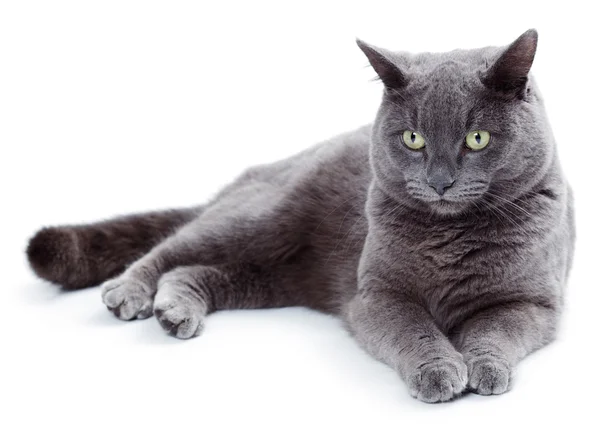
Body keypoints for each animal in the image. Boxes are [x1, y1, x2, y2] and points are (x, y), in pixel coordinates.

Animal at [25, 29, 576, 402]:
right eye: (413, 139)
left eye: (476, 138)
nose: (441, 180)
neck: (451, 234)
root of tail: (266, 167)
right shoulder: (374, 296)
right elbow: (413, 328)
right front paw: (439, 370)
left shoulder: (534, 303)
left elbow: (493, 330)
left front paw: (484, 368)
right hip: (262, 219)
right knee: (173, 247)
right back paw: (130, 294)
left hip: (277, 275)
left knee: (196, 271)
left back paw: (176, 310)